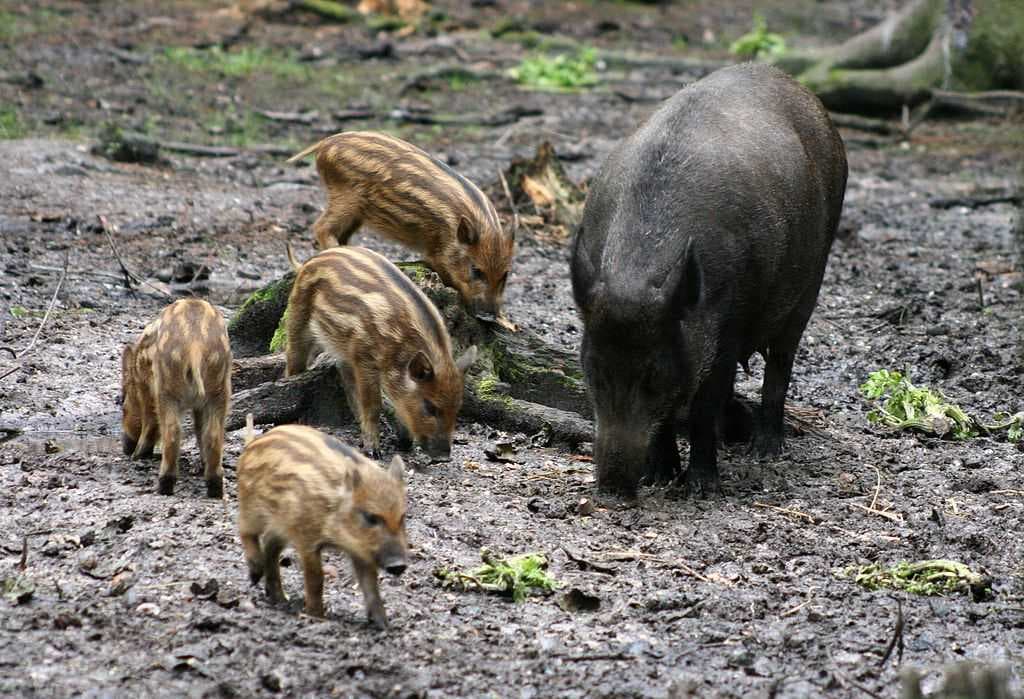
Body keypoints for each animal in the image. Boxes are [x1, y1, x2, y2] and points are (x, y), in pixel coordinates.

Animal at [121, 298, 232, 497]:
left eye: (123, 407)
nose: (125, 449)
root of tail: (195, 345)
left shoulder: (147, 389)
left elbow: (150, 420)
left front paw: (138, 456)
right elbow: (199, 429)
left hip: (167, 391)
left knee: (172, 431)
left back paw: (163, 485)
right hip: (219, 390)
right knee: (213, 433)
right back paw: (215, 489)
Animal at [237, 420, 408, 627]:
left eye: (402, 517)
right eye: (370, 517)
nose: (399, 566)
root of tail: (253, 444)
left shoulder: (361, 549)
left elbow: (371, 584)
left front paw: (384, 625)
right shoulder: (306, 539)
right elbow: (316, 579)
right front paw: (317, 617)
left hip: (280, 523)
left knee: (269, 542)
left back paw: (280, 599)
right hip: (252, 508)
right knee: (244, 529)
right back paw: (255, 575)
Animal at [284, 245, 477, 460]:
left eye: (458, 407)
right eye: (429, 406)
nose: (444, 456)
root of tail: (309, 261)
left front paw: (404, 443)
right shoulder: (365, 358)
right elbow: (374, 405)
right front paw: (373, 451)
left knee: (343, 373)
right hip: (298, 318)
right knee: (293, 359)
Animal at [287, 130, 514, 320]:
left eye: (505, 274)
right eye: (476, 270)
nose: (490, 317)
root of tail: (324, 143)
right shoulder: (435, 251)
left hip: (356, 213)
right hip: (346, 198)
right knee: (320, 227)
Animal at [570, 63, 848, 497]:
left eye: (653, 375)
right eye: (593, 370)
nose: (613, 487)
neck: (636, 276)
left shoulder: (730, 320)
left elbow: (703, 403)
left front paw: (702, 488)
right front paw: (659, 478)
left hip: (813, 276)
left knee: (781, 363)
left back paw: (765, 451)